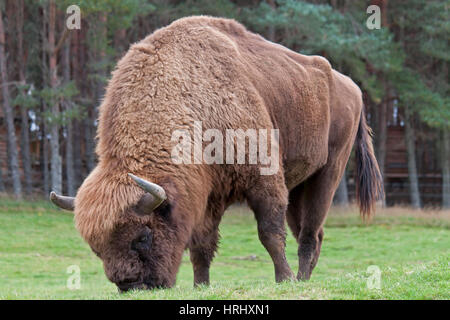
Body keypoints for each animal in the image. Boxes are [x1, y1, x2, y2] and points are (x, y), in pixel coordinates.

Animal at [51, 16, 384, 292]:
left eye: (143, 237)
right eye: (96, 248)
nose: (130, 284)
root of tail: (351, 86)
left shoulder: (264, 179)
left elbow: (269, 234)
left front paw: (283, 280)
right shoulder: (207, 195)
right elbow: (202, 245)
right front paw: (201, 285)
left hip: (328, 173)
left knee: (309, 233)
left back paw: (299, 280)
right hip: (298, 185)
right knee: (310, 230)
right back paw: (305, 279)